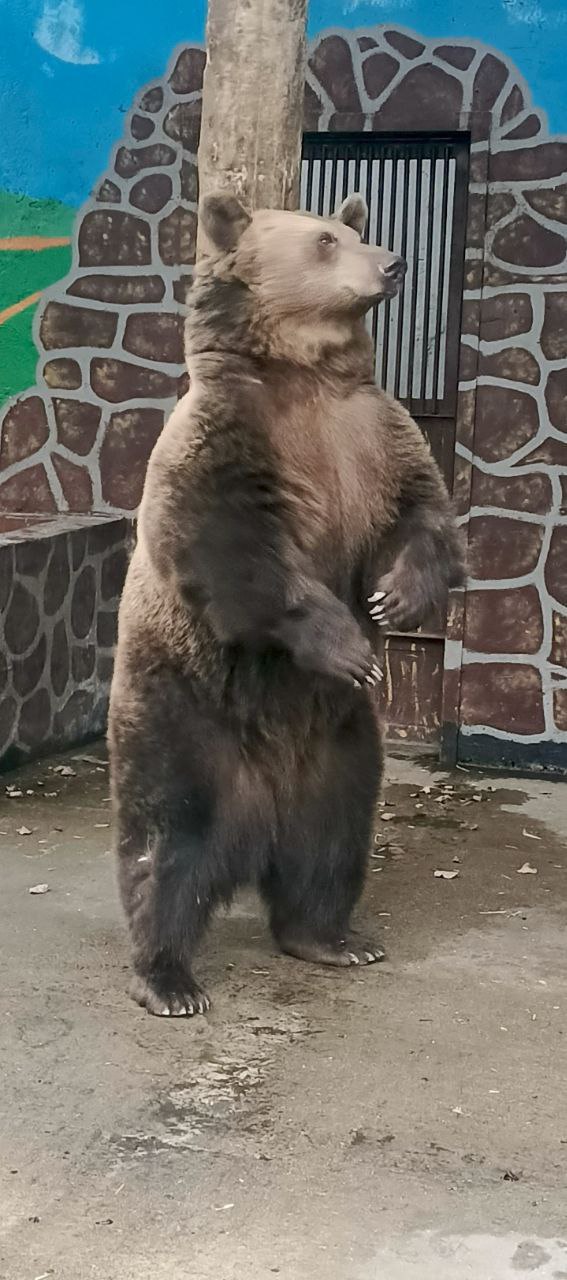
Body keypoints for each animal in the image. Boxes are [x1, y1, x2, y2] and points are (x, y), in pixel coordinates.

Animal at [107, 189, 465, 1013]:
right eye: (324, 240)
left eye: (351, 229)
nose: (393, 261)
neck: (305, 375)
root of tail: (258, 818)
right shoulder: (230, 440)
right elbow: (236, 552)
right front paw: (354, 649)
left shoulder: (374, 436)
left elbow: (424, 514)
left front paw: (395, 600)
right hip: (184, 713)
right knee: (165, 841)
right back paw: (168, 978)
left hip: (339, 747)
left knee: (330, 842)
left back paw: (331, 938)